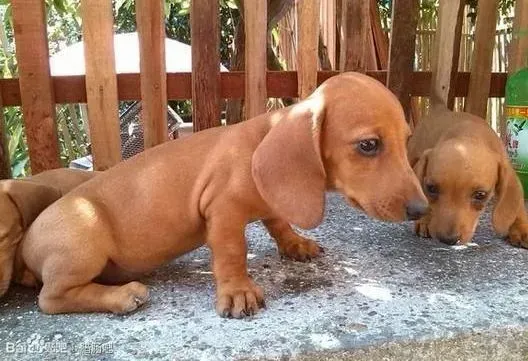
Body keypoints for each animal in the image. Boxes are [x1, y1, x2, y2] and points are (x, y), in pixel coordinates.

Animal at [21, 71, 428, 316]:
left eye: (407, 139)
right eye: (369, 145)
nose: (421, 209)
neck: (263, 139)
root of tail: (25, 245)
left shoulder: (269, 202)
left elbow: (278, 222)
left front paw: (296, 243)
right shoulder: (223, 211)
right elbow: (233, 253)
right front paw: (238, 291)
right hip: (83, 241)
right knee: (51, 298)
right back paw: (122, 296)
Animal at [408, 98, 528, 248]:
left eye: (480, 195)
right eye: (432, 188)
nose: (448, 240)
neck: (469, 135)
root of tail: (440, 107)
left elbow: (517, 206)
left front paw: (521, 228)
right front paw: (424, 220)